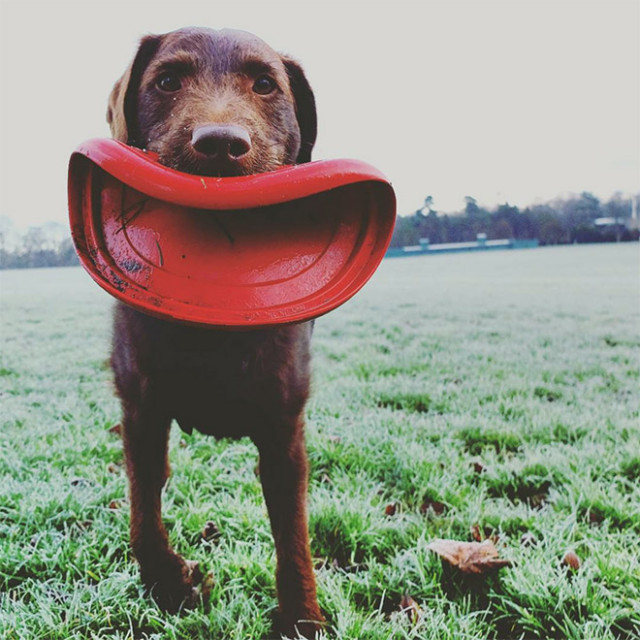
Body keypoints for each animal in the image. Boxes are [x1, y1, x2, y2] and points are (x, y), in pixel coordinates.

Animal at [109, 27, 324, 636]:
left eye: (265, 85)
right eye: (166, 81)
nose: (222, 144)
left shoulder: (283, 428)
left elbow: (292, 533)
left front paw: (303, 618)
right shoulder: (140, 411)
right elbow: (142, 511)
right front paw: (172, 584)